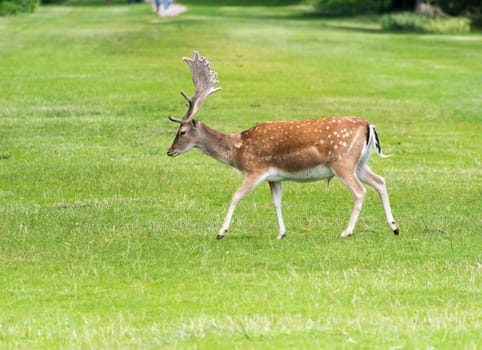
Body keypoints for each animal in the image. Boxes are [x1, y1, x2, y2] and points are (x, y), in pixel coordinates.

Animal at [167, 50, 400, 239]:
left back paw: (347, 231)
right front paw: (282, 233)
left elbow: (236, 195)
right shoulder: (275, 177)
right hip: (360, 163)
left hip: (342, 162)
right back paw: (394, 227)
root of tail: (368, 125)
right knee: (380, 181)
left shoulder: (255, 169)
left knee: (360, 191)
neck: (237, 149)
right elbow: (277, 201)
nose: (170, 151)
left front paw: (221, 232)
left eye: (182, 132)